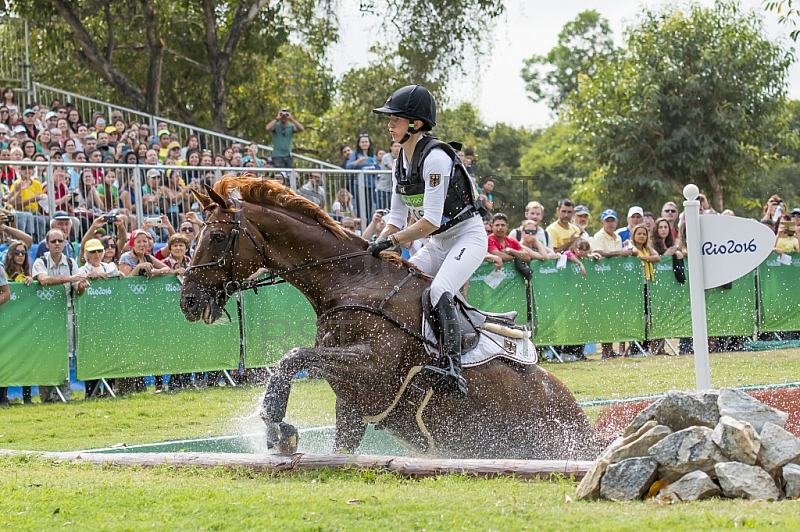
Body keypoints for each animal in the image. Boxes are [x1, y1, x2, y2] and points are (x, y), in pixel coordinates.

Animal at [181, 177, 604, 460]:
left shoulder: (373, 365)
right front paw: (280, 428)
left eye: (216, 237)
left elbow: (292, 357)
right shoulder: (351, 402)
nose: (187, 301)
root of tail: (584, 427)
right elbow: (339, 445)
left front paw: (275, 425)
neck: (350, 283)